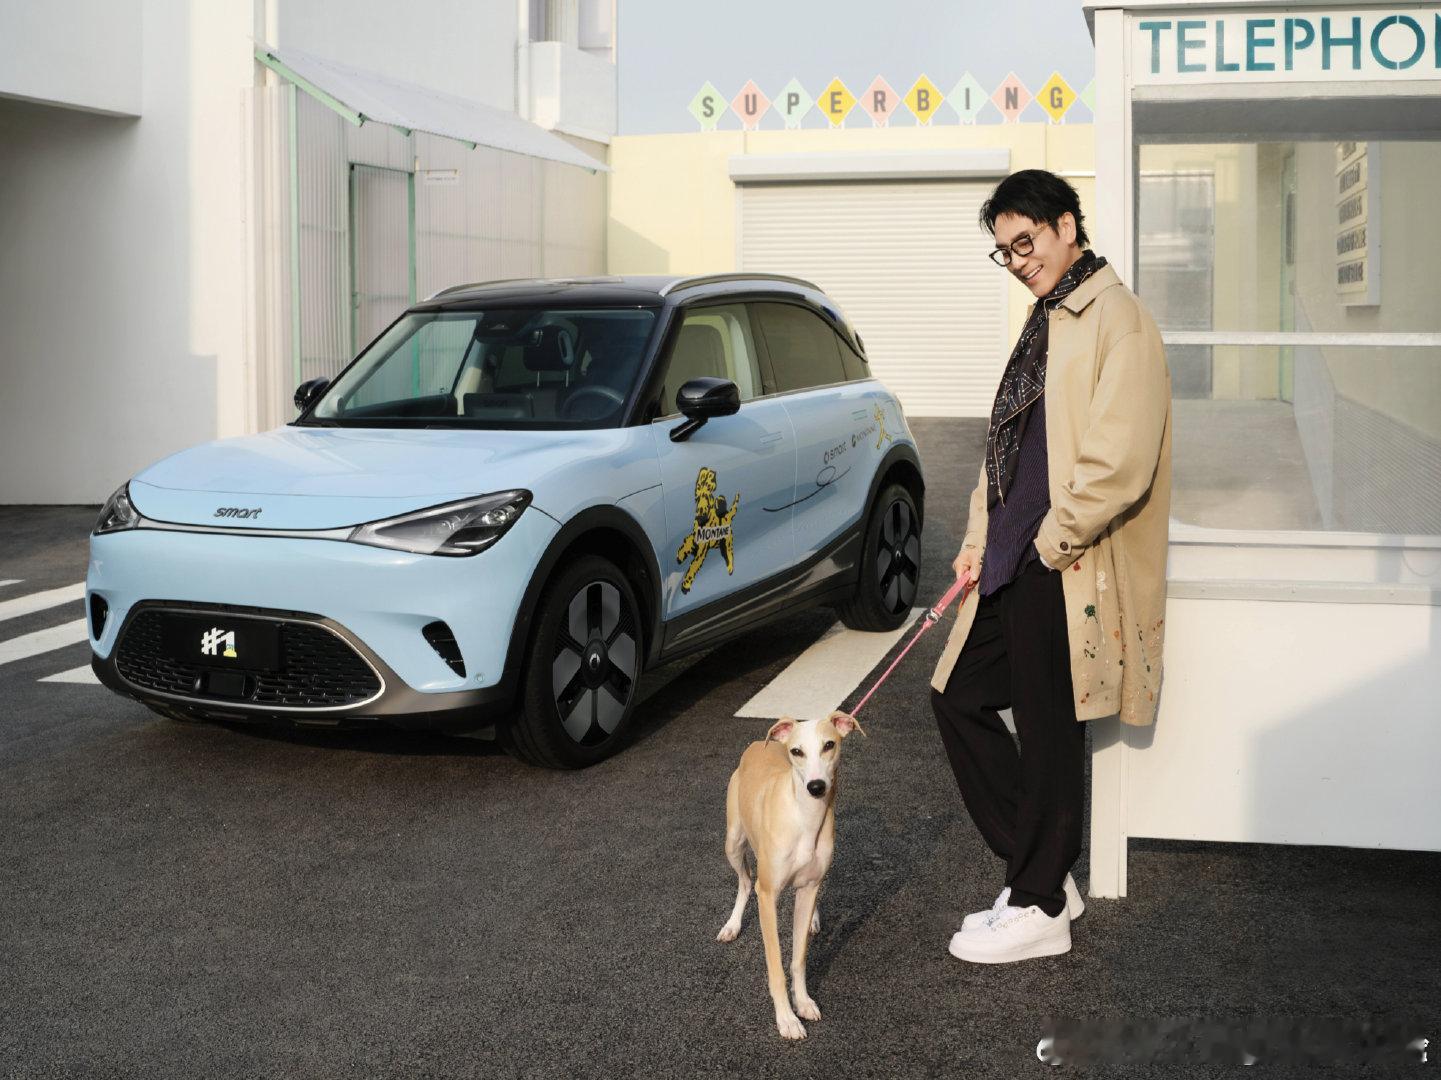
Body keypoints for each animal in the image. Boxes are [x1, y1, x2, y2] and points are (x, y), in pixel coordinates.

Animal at [717, 710, 864, 1040]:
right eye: (797, 751)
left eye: (829, 744)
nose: (816, 787)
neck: (803, 818)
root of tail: (758, 744)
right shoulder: (768, 894)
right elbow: (776, 967)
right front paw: (786, 1018)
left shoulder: (808, 887)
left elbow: (798, 959)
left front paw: (804, 1002)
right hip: (734, 842)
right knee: (745, 882)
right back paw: (732, 925)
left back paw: (814, 920)